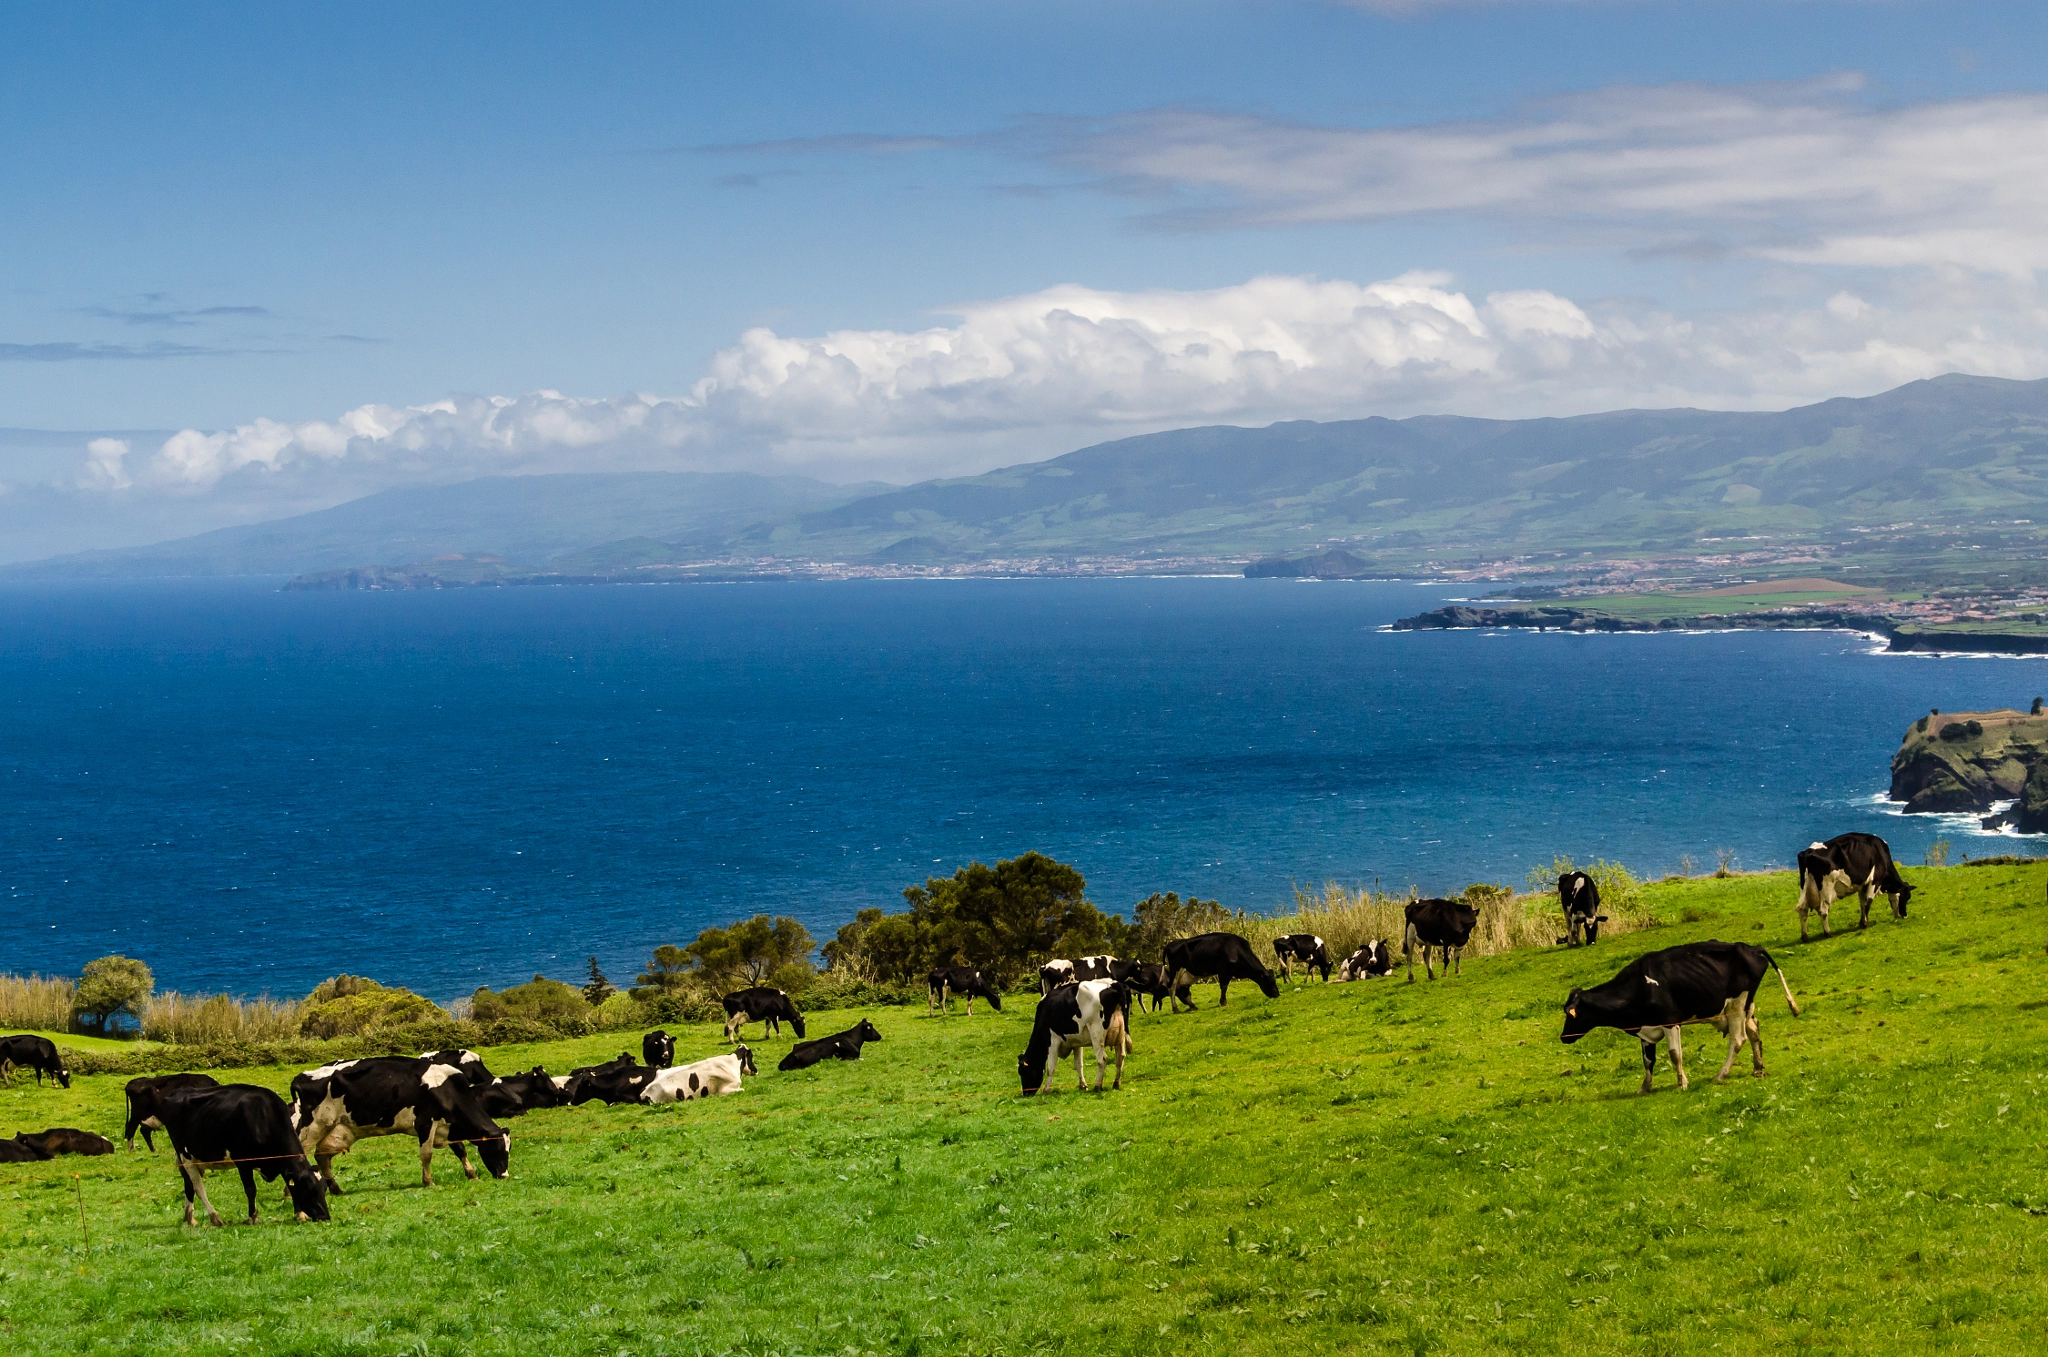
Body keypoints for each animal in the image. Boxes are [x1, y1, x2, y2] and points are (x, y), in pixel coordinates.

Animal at [153, 1080, 327, 1228]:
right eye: (309, 1190)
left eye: (324, 1189)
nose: (325, 1217)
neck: (263, 1117)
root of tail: (178, 1092)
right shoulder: (243, 1161)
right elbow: (251, 1189)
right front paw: (252, 1217)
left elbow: (290, 1185)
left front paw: (300, 1214)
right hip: (185, 1155)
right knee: (197, 1186)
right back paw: (215, 1217)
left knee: (188, 1184)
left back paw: (190, 1219)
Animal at [290, 1056, 509, 1195]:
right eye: (497, 1148)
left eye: (509, 1149)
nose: (504, 1175)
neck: (447, 1089)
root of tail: (302, 1075)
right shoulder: (425, 1123)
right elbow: (426, 1154)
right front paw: (428, 1181)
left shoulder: (446, 1126)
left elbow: (460, 1150)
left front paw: (471, 1174)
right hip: (312, 1127)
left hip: (337, 1130)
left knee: (322, 1157)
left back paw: (335, 1189)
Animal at [1556, 945, 1802, 1097]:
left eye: (1570, 1014)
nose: (1563, 1037)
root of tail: (1752, 947)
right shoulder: (1647, 1030)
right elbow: (1648, 1061)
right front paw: (1645, 1088)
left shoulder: (1670, 1021)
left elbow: (1675, 1054)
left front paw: (1682, 1083)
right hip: (1744, 1007)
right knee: (1754, 1031)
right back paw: (1758, 1068)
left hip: (1736, 1006)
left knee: (1738, 1039)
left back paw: (1720, 1074)